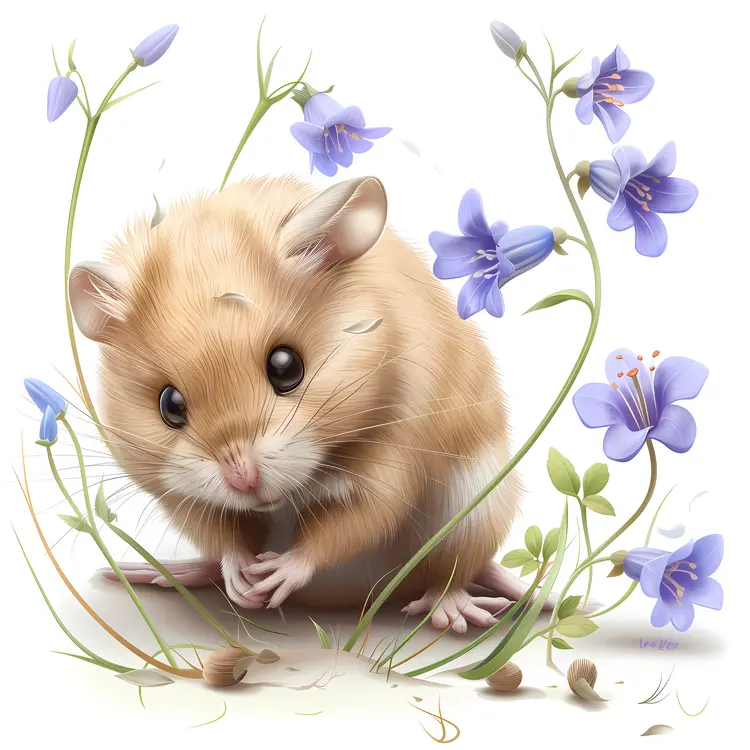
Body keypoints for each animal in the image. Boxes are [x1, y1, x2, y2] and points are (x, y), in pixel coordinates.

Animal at [70, 175, 528, 633]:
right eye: (170, 405)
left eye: (286, 367)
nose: (243, 479)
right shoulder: (175, 492)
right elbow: (219, 532)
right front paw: (243, 579)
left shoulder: (395, 457)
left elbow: (354, 522)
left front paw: (275, 575)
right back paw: (167, 572)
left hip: (476, 510)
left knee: (451, 568)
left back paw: (452, 610)